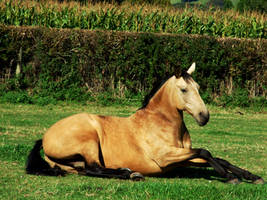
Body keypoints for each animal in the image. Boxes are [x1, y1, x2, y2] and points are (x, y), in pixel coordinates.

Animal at [26, 63, 264, 184]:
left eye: (198, 87)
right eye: (184, 89)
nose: (204, 117)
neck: (161, 123)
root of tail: (44, 137)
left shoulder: (180, 158)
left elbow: (217, 158)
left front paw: (250, 176)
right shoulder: (165, 157)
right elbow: (206, 152)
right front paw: (230, 178)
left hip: (75, 164)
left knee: (89, 170)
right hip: (89, 140)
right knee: (94, 168)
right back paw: (129, 173)